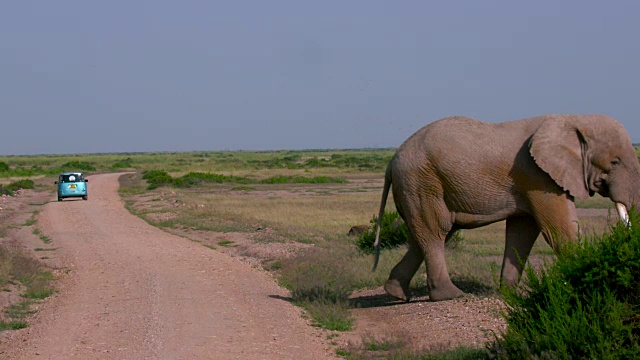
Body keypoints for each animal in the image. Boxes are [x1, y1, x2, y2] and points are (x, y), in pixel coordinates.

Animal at [376, 114, 640, 300]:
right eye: (614, 162)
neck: (573, 119)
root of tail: (391, 162)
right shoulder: (539, 177)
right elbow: (559, 230)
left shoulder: (529, 182)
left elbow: (522, 233)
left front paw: (511, 293)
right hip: (421, 182)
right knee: (435, 232)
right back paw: (451, 295)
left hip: (419, 186)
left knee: (426, 236)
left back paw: (396, 293)